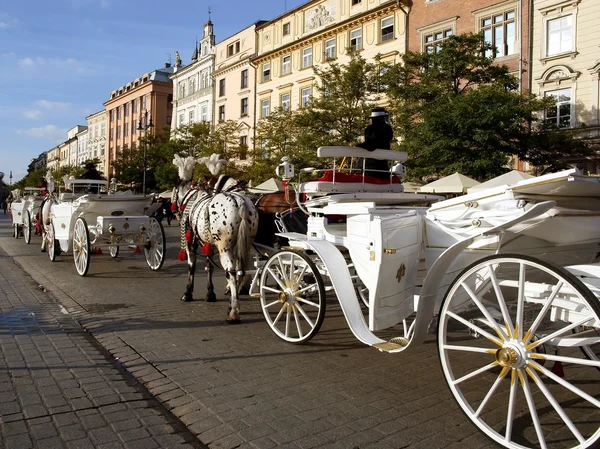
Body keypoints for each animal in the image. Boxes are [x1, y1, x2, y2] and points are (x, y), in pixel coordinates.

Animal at [172, 154, 258, 322]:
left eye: (175, 192)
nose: (176, 212)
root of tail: (240, 203)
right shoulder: (208, 244)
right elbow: (209, 267)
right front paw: (210, 294)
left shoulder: (191, 243)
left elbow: (191, 266)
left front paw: (187, 293)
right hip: (245, 243)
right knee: (241, 269)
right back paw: (236, 300)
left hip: (224, 247)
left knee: (231, 272)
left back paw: (233, 311)